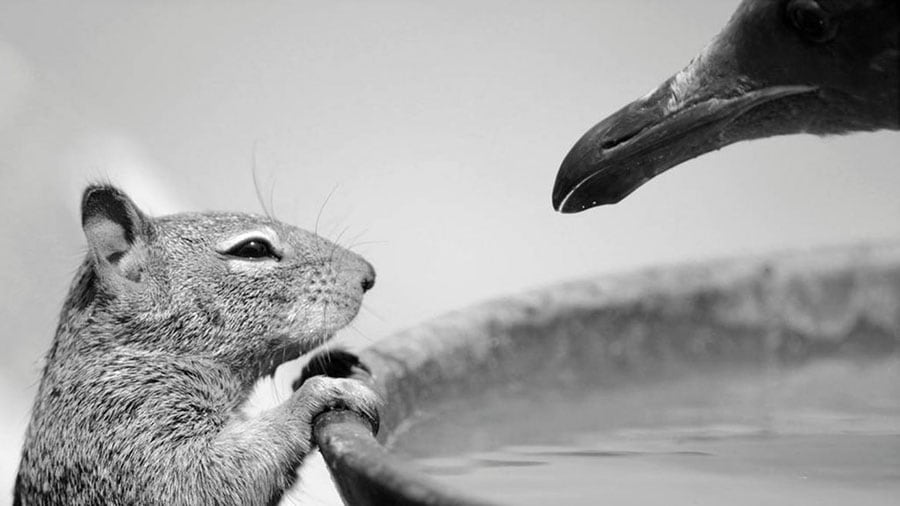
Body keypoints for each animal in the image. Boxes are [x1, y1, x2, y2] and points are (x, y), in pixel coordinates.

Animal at [14, 186, 380, 506]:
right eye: (253, 249)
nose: (368, 274)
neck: (145, 352)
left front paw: (325, 366)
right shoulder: (124, 427)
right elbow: (204, 480)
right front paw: (317, 394)